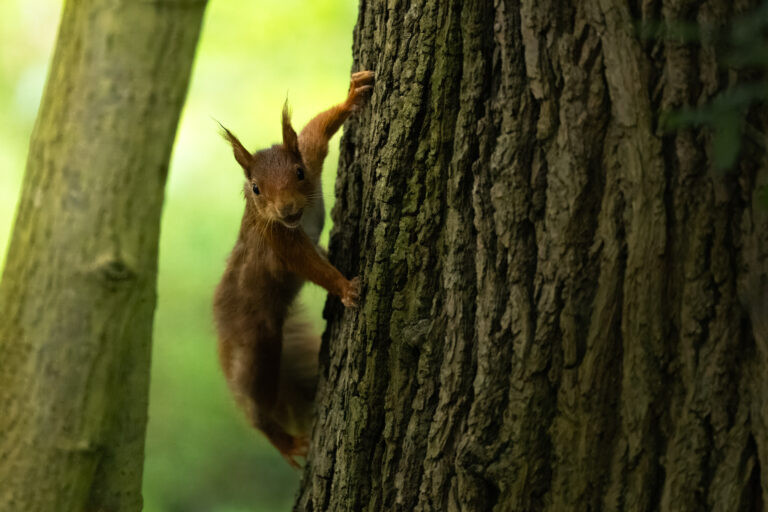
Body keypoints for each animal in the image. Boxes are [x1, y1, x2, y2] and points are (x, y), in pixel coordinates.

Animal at [213, 70, 374, 467]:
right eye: (256, 188)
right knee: (254, 402)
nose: (286, 209)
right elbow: (310, 265)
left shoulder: (310, 155)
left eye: (299, 173)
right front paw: (345, 287)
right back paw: (283, 441)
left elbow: (316, 129)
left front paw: (351, 97)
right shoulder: (279, 239)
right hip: (255, 347)